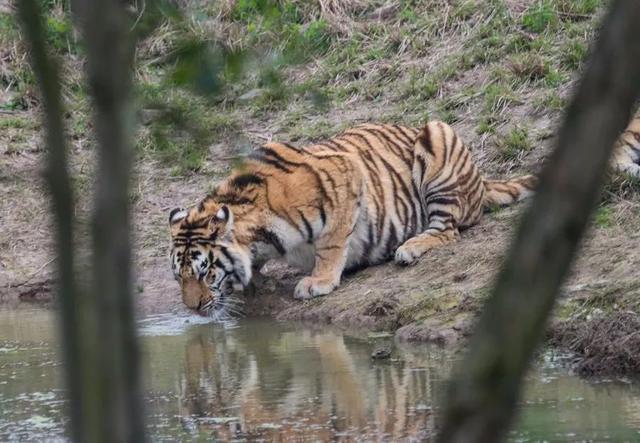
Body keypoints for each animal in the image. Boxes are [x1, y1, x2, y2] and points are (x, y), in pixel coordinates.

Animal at [169, 120, 536, 316]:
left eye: (205, 272)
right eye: (179, 277)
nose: (192, 308)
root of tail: (482, 181)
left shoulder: (345, 175)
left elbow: (331, 244)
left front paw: (318, 281)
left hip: (436, 136)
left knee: (449, 230)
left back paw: (409, 248)